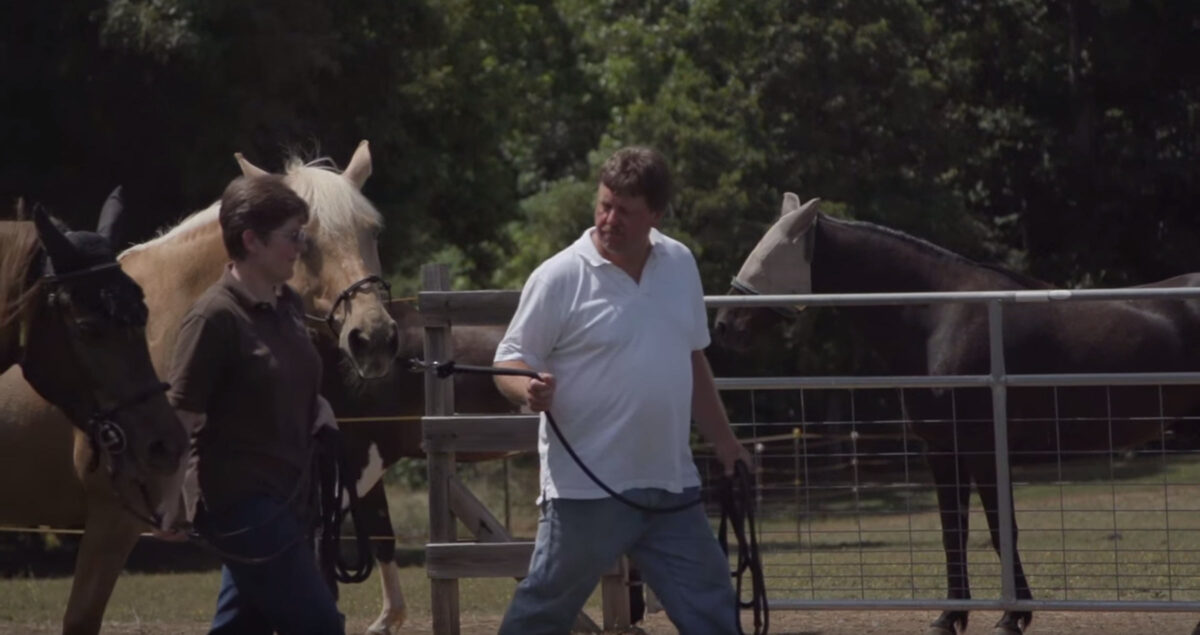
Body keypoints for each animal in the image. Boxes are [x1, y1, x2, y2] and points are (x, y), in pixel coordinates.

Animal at [712, 194, 1200, 635]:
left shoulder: (983, 448)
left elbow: (1001, 529)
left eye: (772, 256)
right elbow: (954, 533)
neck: (941, 317)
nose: (724, 326)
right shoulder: (942, 451)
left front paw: (1012, 617)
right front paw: (950, 617)